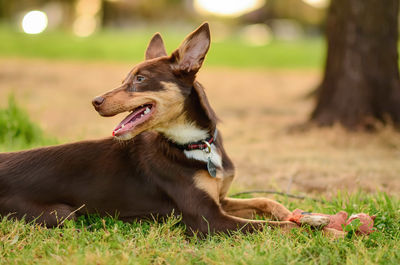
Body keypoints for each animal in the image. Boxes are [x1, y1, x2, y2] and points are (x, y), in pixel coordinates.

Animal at [0, 22, 298, 233]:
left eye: (140, 79)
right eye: (124, 79)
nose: (95, 101)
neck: (193, 144)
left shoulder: (219, 201)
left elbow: (266, 202)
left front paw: (292, 213)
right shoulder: (209, 220)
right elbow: (277, 229)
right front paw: (306, 227)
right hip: (62, 214)